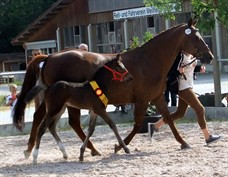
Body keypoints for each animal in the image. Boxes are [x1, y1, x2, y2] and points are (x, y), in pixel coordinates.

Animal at [13, 18, 214, 159]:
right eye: (195, 36)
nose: (210, 56)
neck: (149, 60)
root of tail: (50, 57)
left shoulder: (157, 97)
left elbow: (169, 119)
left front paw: (183, 142)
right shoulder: (142, 100)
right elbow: (137, 124)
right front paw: (120, 146)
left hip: (59, 100)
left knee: (46, 118)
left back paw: (33, 149)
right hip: (64, 101)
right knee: (69, 122)